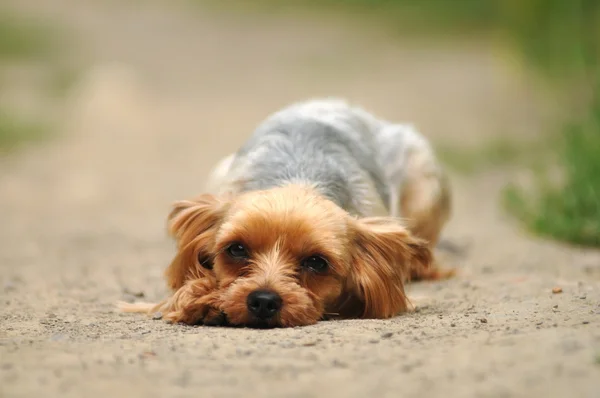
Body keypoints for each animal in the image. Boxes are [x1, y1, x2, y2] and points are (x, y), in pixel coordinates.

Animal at [119, 98, 452, 326]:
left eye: (316, 262)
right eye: (236, 249)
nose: (263, 301)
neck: (299, 176)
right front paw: (202, 297)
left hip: (424, 179)